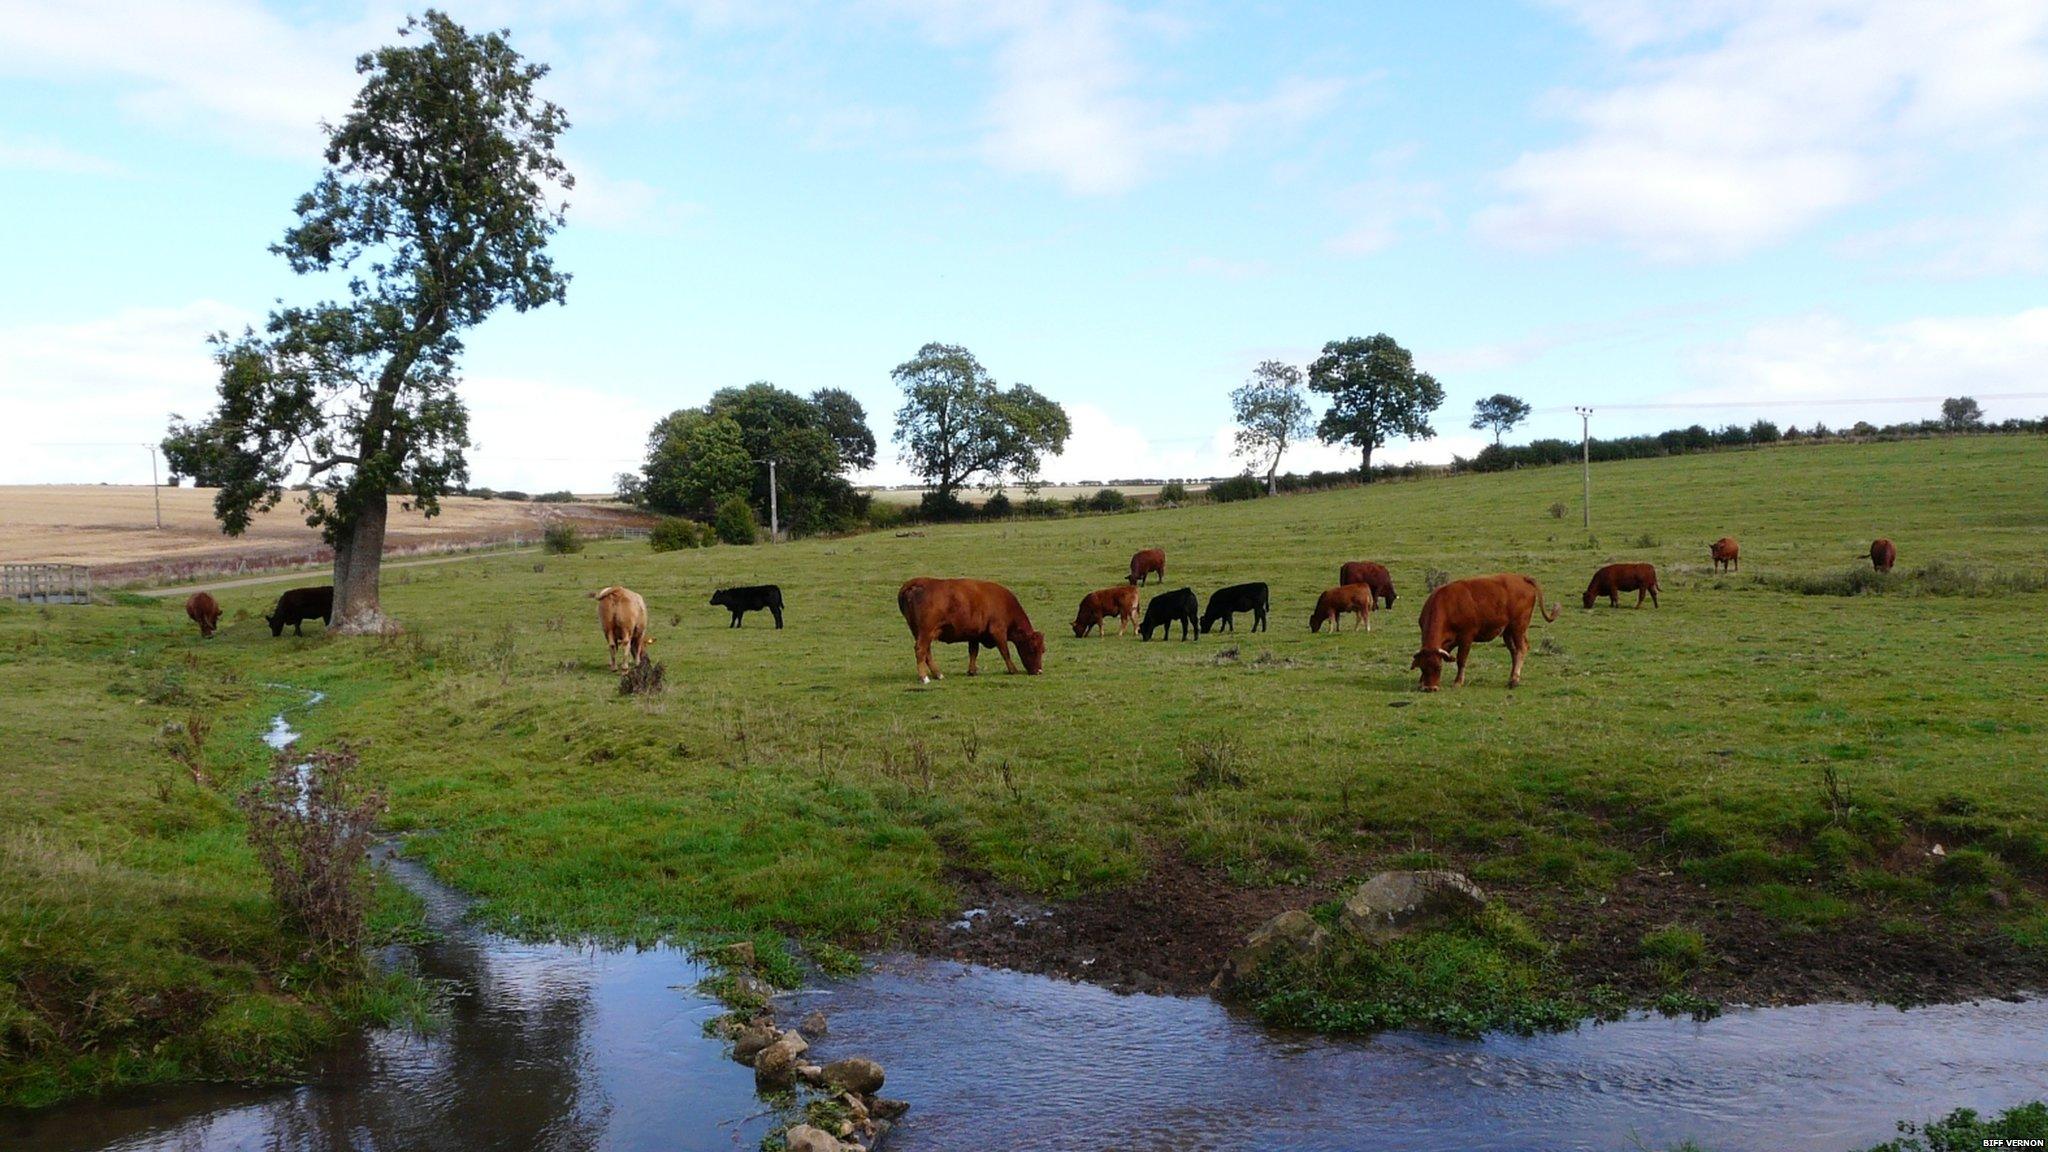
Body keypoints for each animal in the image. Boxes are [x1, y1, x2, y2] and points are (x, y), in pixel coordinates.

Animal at [901, 573, 1048, 680]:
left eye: (1043, 650)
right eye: (1032, 649)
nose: (1039, 671)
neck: (1006, 605)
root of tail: (918, 582)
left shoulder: (974, 635)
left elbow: (973, 652)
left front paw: (972, 671)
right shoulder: (998, 632)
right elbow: (1005, 651)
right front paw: (1013, 670)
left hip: (921, 633)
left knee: (927, 652)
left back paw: (938, 675)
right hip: (926, 632)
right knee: (921, 650)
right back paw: (924, 677)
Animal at [1417, 569, 1556, 684]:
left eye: (1438, 668)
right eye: (1422, 667)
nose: (1430, 688)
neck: (1447, 604)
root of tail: (1523, 578)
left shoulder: (1466, 637)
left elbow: (1461, 659)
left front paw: (1458, 682)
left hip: (1518, 627)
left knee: (1522, 648)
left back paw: (1514, 680)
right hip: (1508, 632)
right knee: (1514, 651)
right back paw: (1511, 677)